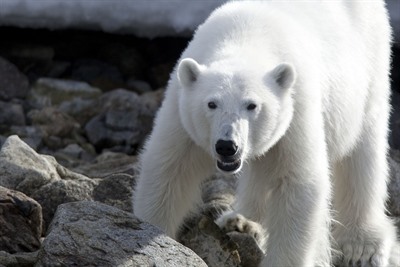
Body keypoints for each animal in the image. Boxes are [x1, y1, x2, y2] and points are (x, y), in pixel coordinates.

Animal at [134, 1, 396, 266]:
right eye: (211, 104)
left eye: (252, 105)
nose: (227, 146)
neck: (245, 37)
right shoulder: (181, 109)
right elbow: (169, 169)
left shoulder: (295, 108)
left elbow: (297, 182)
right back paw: (241, 221)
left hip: (369, 61)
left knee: (363, 149)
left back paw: (361, 244)